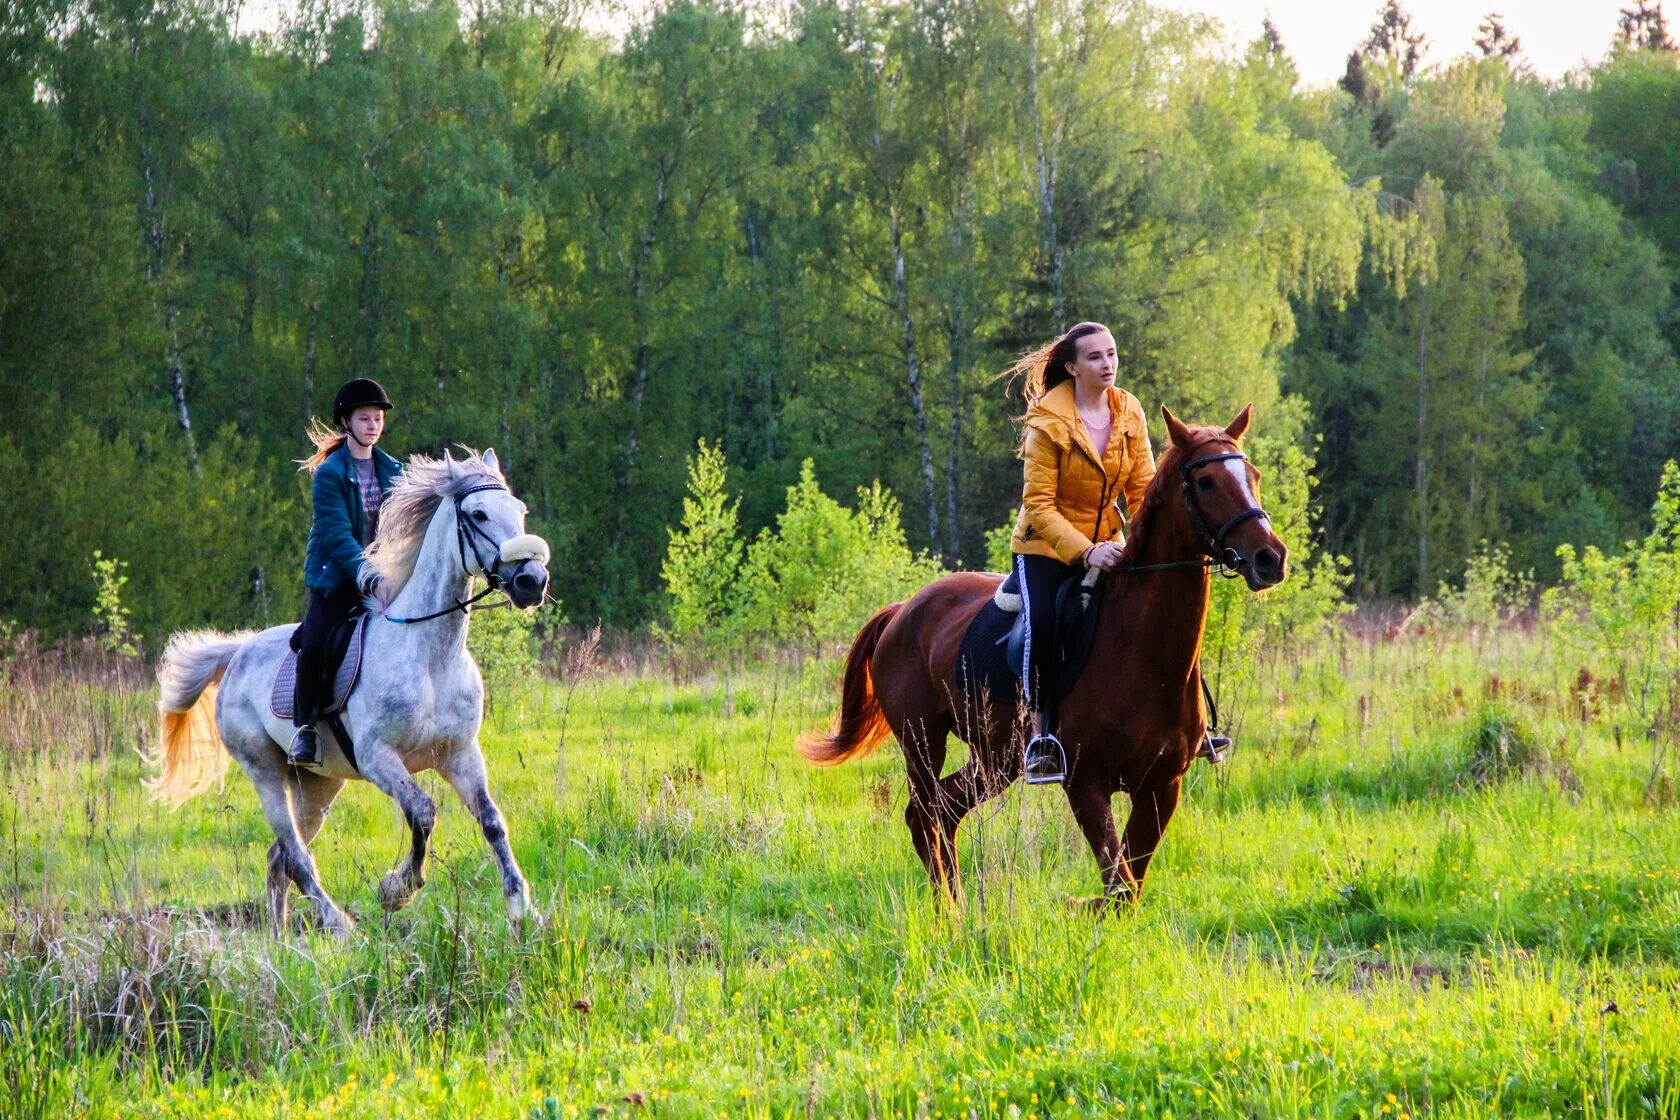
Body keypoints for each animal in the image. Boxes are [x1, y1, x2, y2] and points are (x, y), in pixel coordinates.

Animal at [145, 450, 547, 940]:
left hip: (319, 786)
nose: (532, 581)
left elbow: (491, 822)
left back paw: (282, 943)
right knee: (295, 855)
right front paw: (397, 888)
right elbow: (423, 811)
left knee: (278, 858)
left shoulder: (461, 755)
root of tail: (238, 652)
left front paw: (522, 911)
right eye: (478, 514)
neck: (431, 657)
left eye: (519, 511)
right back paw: (337, 923)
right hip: (264, 772)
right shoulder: (379, 759)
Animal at [799, 408, 1283, 906]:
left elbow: (1128, 886)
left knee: (944, 811)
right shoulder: (1086, 783)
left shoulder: (1162, 786)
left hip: (997, 758)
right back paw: (947, 911)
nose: (1270, 558)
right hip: (922, 742)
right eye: (1205, 482)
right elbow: (1117, 883)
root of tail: (901, 612)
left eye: (1253, 476)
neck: (1143, 652)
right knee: (925, 815)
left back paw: (958, 906)